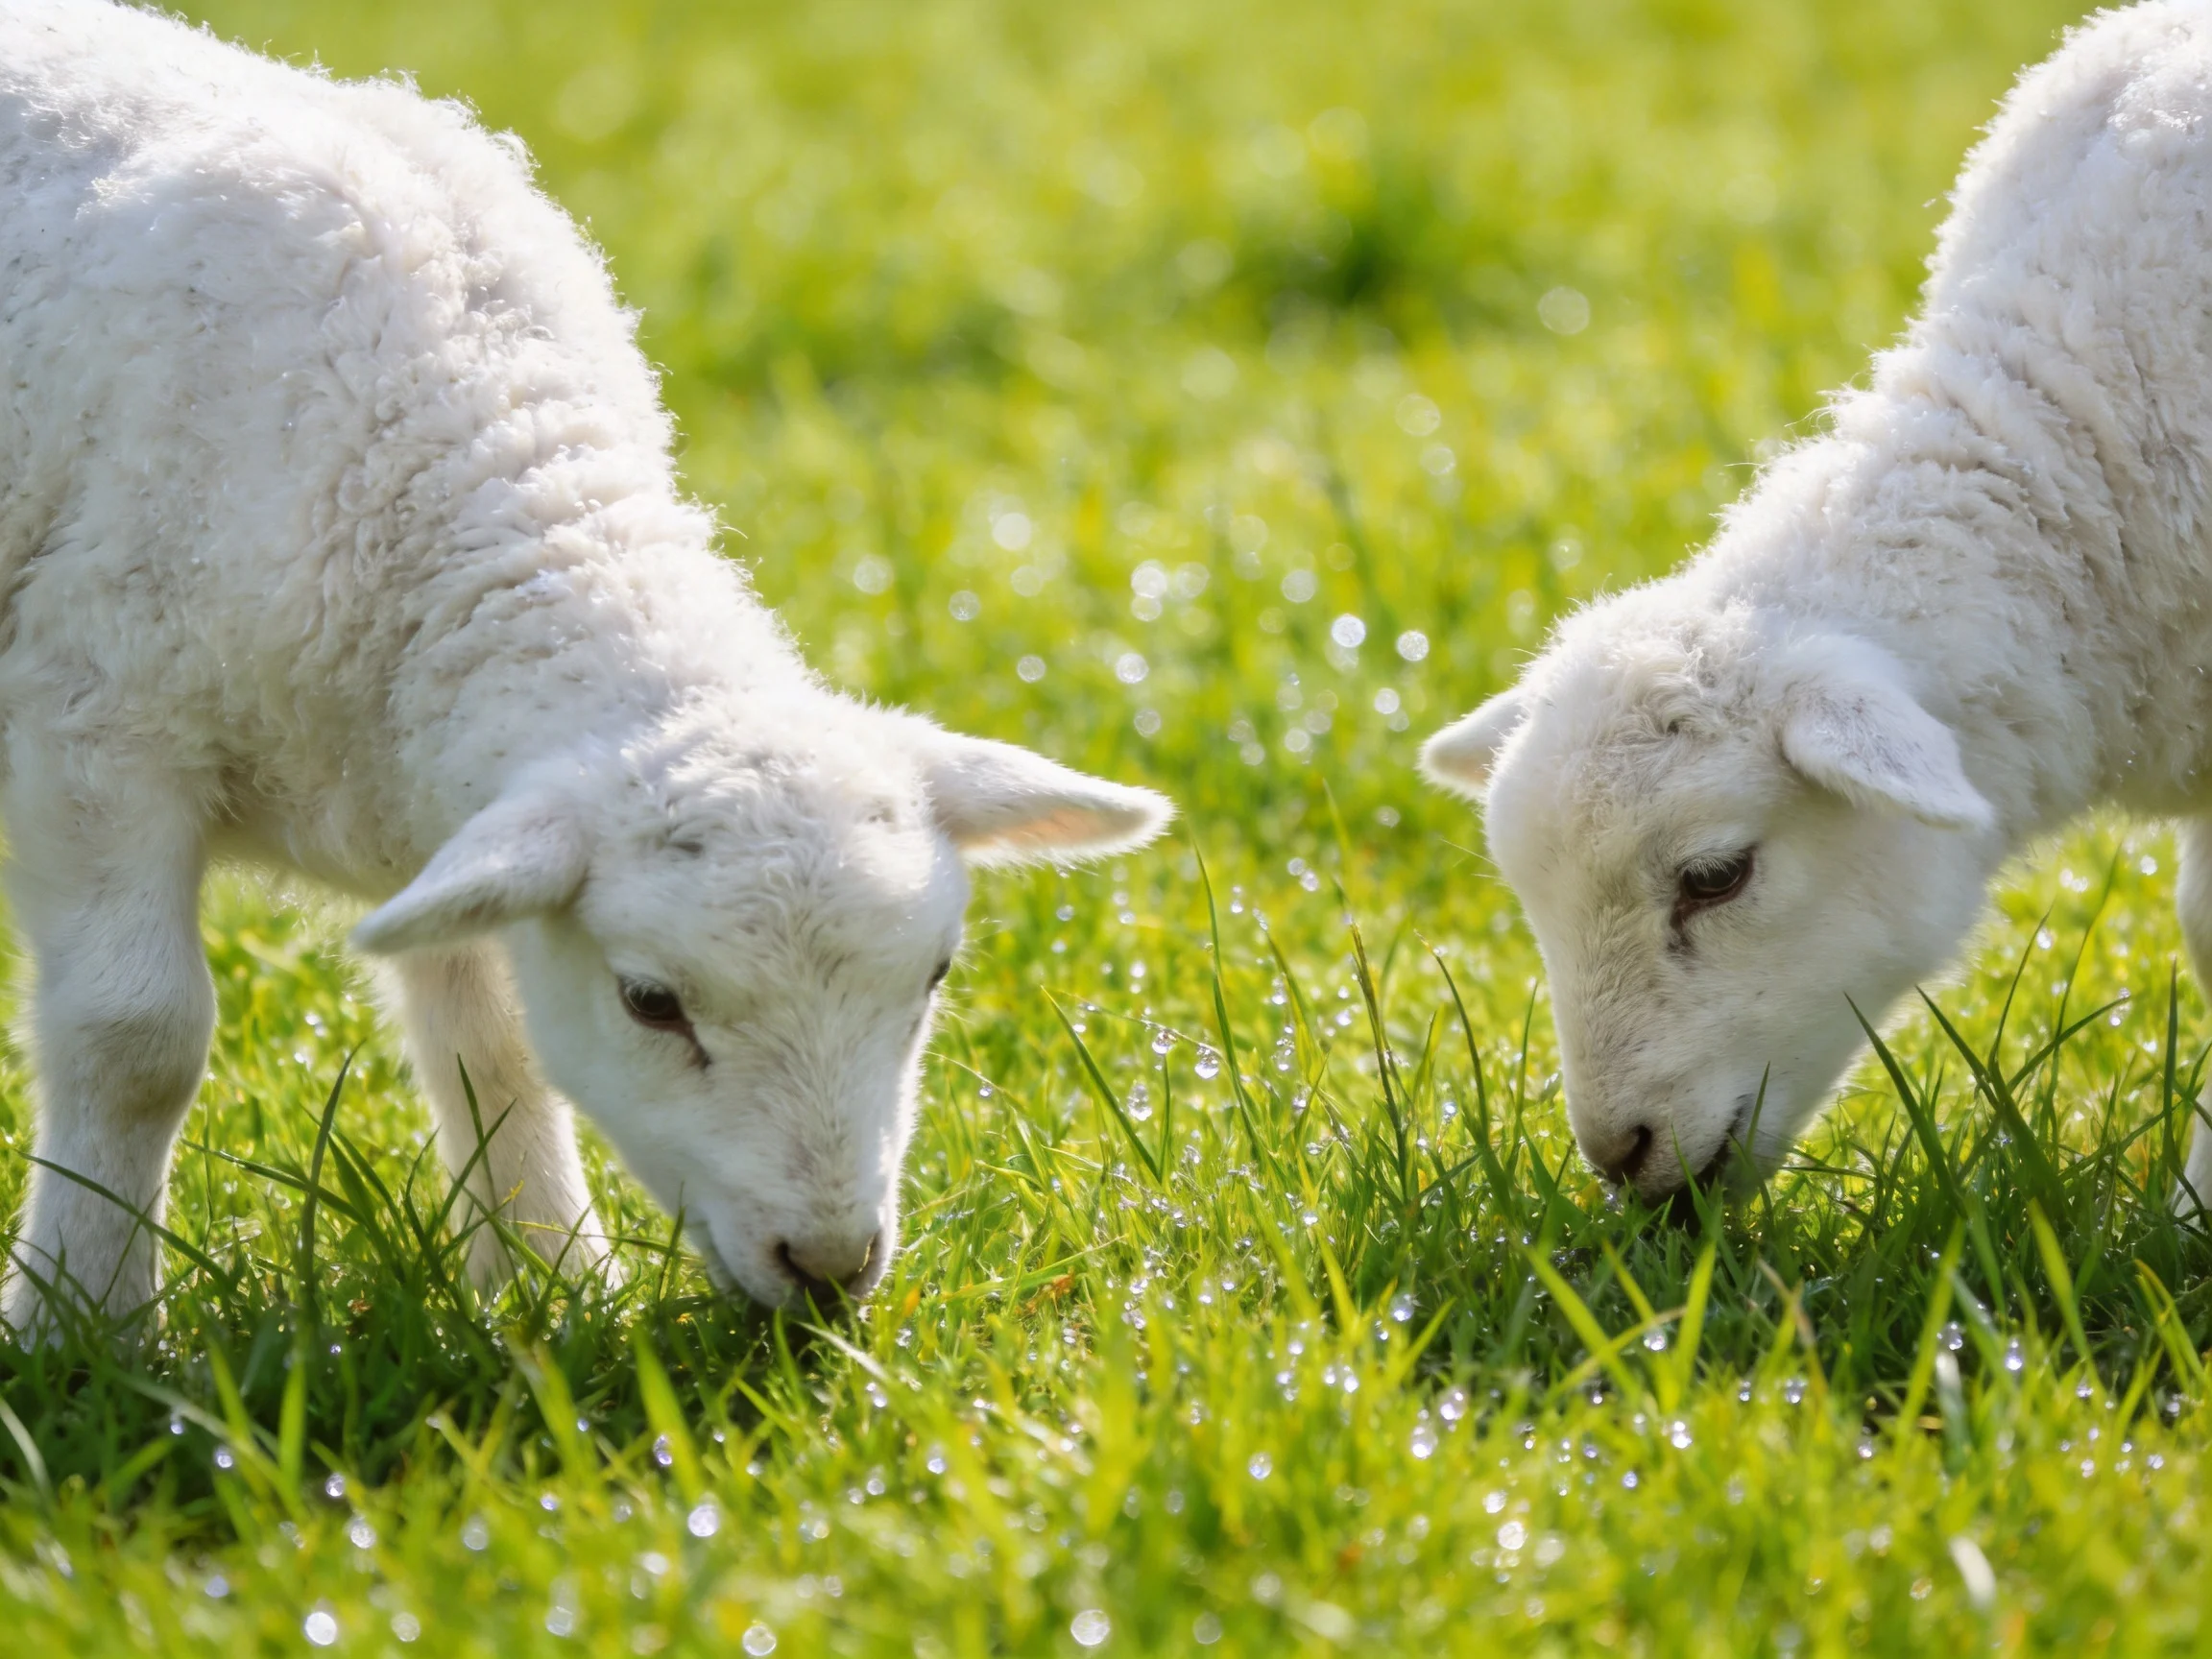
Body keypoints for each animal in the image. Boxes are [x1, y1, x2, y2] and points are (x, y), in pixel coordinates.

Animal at [0, 0, 1171, 1333]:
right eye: (652, 1002)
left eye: (934, 977)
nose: (829, 1268)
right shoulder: (94, 725)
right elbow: (137, 1037)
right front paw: (80, 1324)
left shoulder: (440, 802)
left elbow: (494, 1047)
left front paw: (552, 1283)